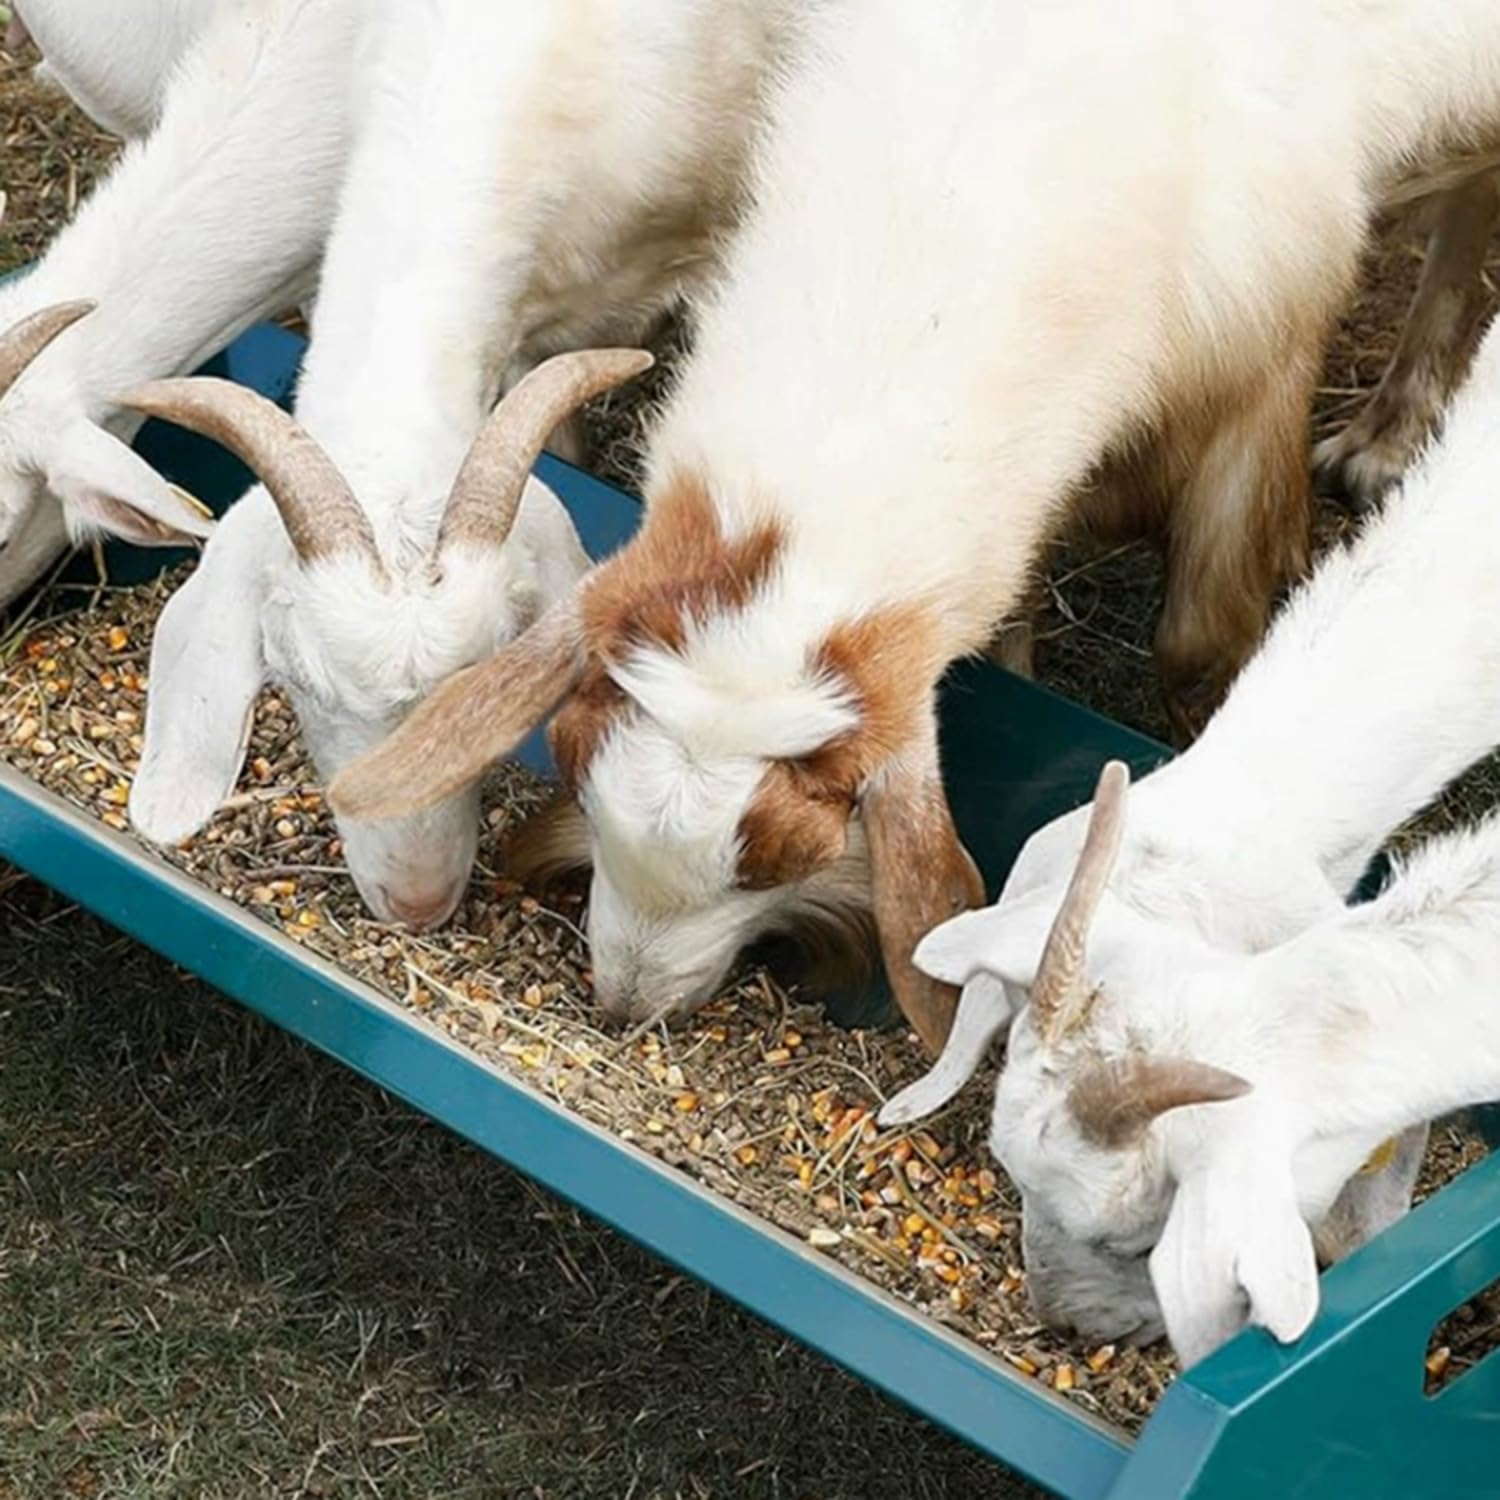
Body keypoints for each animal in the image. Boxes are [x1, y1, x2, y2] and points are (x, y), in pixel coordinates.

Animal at [330, 0, 1500, 1049]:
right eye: (578, 773)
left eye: (792, 852)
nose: (626, 1004)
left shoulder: (1263, 347)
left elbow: (1201, 641)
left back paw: (1392, 434)